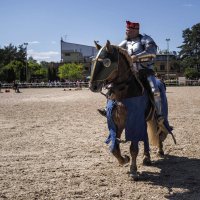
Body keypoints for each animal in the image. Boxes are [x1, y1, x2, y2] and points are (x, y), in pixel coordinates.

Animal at [90, 40, 174, 180]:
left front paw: (133, 170)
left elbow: (133, 148)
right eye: (93, 62)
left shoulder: (135, 121)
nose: (92, 86)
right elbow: (114, 147)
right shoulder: (117, 123)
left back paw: (159, 150)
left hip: (156, 116)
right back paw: (147, 158)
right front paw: (124, 159)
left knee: (159, 130)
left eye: (106, 62)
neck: (124, 93)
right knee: (146, 137)